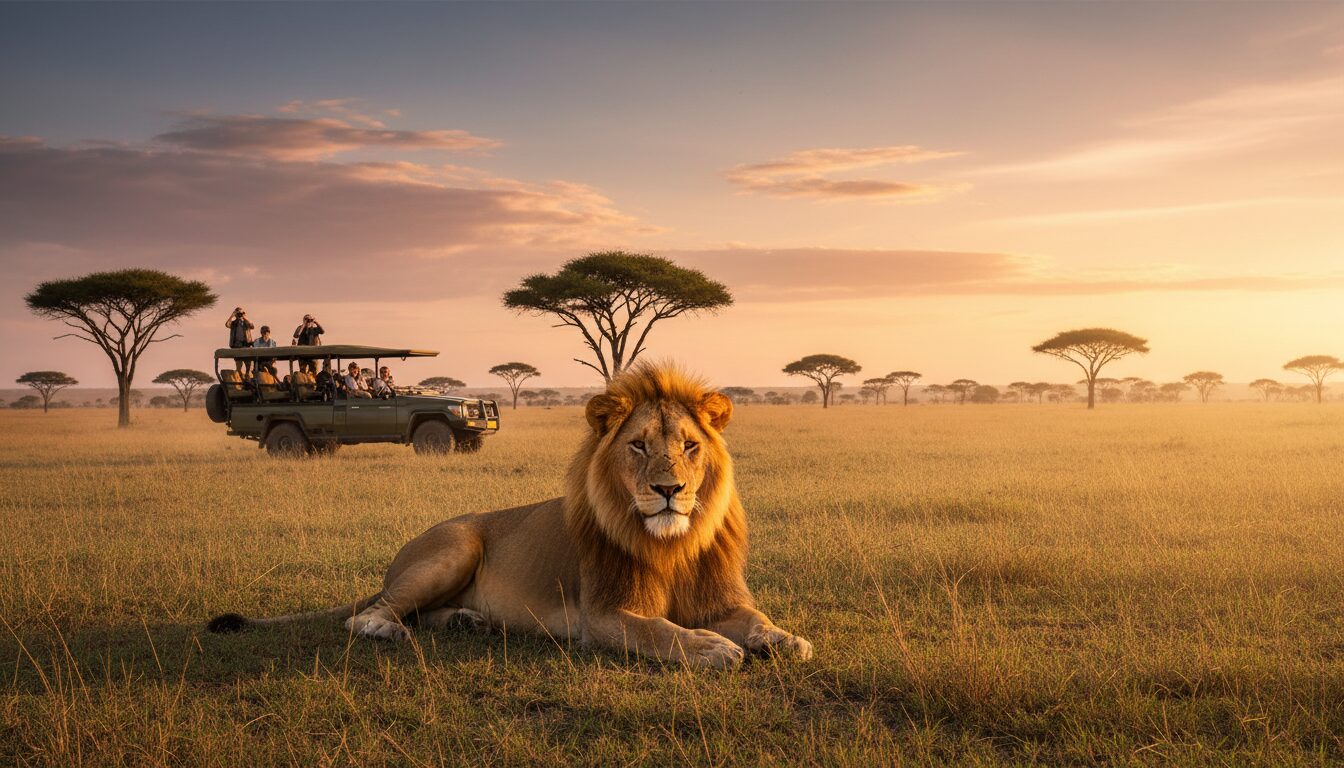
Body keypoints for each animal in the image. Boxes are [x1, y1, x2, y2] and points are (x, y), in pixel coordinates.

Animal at [208, 362, 812, 669]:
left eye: (689, 446)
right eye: (638, 446)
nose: (669, 490)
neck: (673, 541)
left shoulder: (718, 600)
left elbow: (755, 619)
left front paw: (785, 639)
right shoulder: (602, 616)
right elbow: (659, 630)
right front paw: (710, 647)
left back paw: (466, 621)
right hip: (453, 549)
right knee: (369, 615)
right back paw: (389, 629)